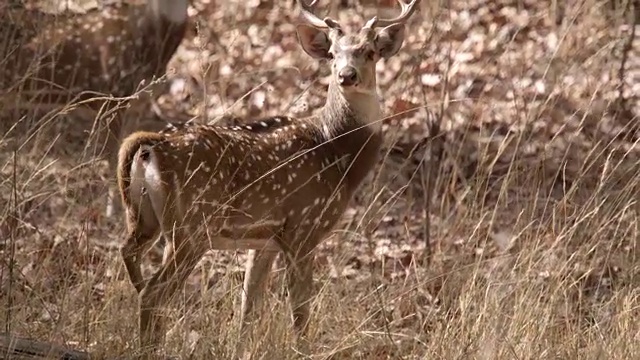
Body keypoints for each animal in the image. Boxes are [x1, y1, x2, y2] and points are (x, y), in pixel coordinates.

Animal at [117, 0, 422, 358]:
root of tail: (152, 146)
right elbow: (300, 310)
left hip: (144, 219)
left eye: (371, 52)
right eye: (333, 53)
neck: (338, 153)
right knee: (153, 291)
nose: (347, 75)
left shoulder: (265, 240)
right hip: (190, 227)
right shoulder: (304, 226)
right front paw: (304, 349)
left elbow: (249, 306)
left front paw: (240, 348)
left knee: (129, 257)